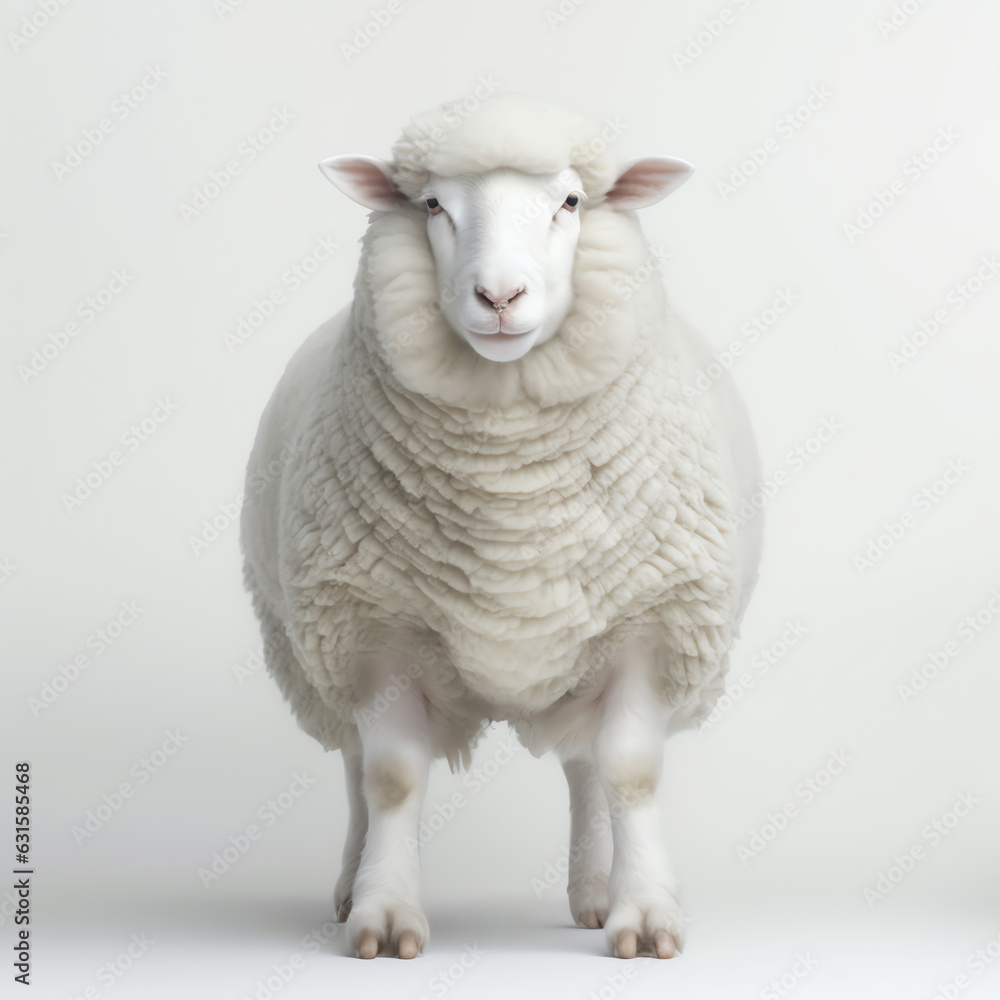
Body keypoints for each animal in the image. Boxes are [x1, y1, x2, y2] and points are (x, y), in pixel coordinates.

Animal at [239, 93, 762, 962]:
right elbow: (390, 778)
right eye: (431, 204)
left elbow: (629, 773)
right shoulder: (375, 628)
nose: (500, 297)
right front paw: (385, 914)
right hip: (312, 650)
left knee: (585, 768)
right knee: (351, 763)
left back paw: (594, 891)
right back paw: (350, 885)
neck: (511, 490)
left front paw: (645, 915)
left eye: (571, 201)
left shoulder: (650, 624)